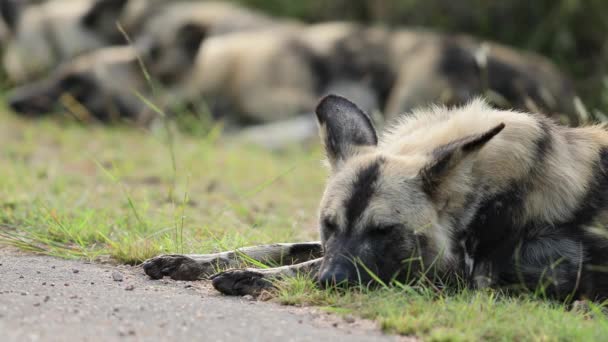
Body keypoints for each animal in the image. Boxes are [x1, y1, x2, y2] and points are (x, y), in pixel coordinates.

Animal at [145, 95, 608, 300]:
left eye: (384, 231)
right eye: (329, 224)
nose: (331, 282)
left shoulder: (455, 276)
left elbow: (302, 264)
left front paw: (255, 278)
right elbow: (273, 246)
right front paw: (188, 261)